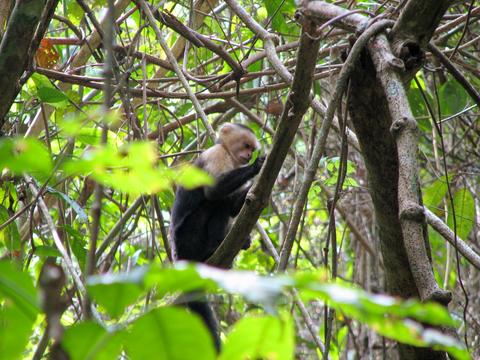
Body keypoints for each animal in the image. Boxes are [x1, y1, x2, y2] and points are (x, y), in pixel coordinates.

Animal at [170, 122, 266, 350]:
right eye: (246, 146)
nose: (248, 156)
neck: (230, 156)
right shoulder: (216, 155)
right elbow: (214, 192)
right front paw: (256, 167)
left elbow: (236, 206)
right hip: (189, 238)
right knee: (214, 203)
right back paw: (213, 249)